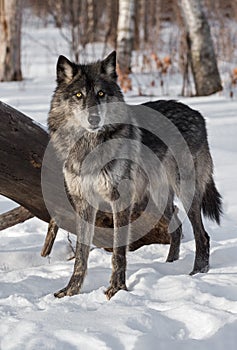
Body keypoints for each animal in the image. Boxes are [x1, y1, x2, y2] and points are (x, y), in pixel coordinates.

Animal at [47, 50, 222, 300]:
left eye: (101, 94)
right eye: (79, 95)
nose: (94, 119)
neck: (88, 146)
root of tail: (197, 114)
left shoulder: (119, 200)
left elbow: (118, 252)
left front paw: (116, 289)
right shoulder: (84, 203)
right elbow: (81, 254)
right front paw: (71, 290)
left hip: (185, 194)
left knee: (203, 236)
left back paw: (198, 272)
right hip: (158, 200)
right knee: (177, 227)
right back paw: (169, 265)